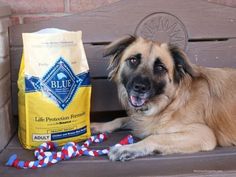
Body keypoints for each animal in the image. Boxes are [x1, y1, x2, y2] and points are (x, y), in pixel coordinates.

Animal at [91, 35, 236, 160]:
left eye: (160, 68)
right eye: (133, 60)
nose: (140, 87)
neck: (169, 104)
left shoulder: (203, 133)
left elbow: (155, 137)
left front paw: (126, 148)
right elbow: (120, 119)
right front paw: (97, 126)